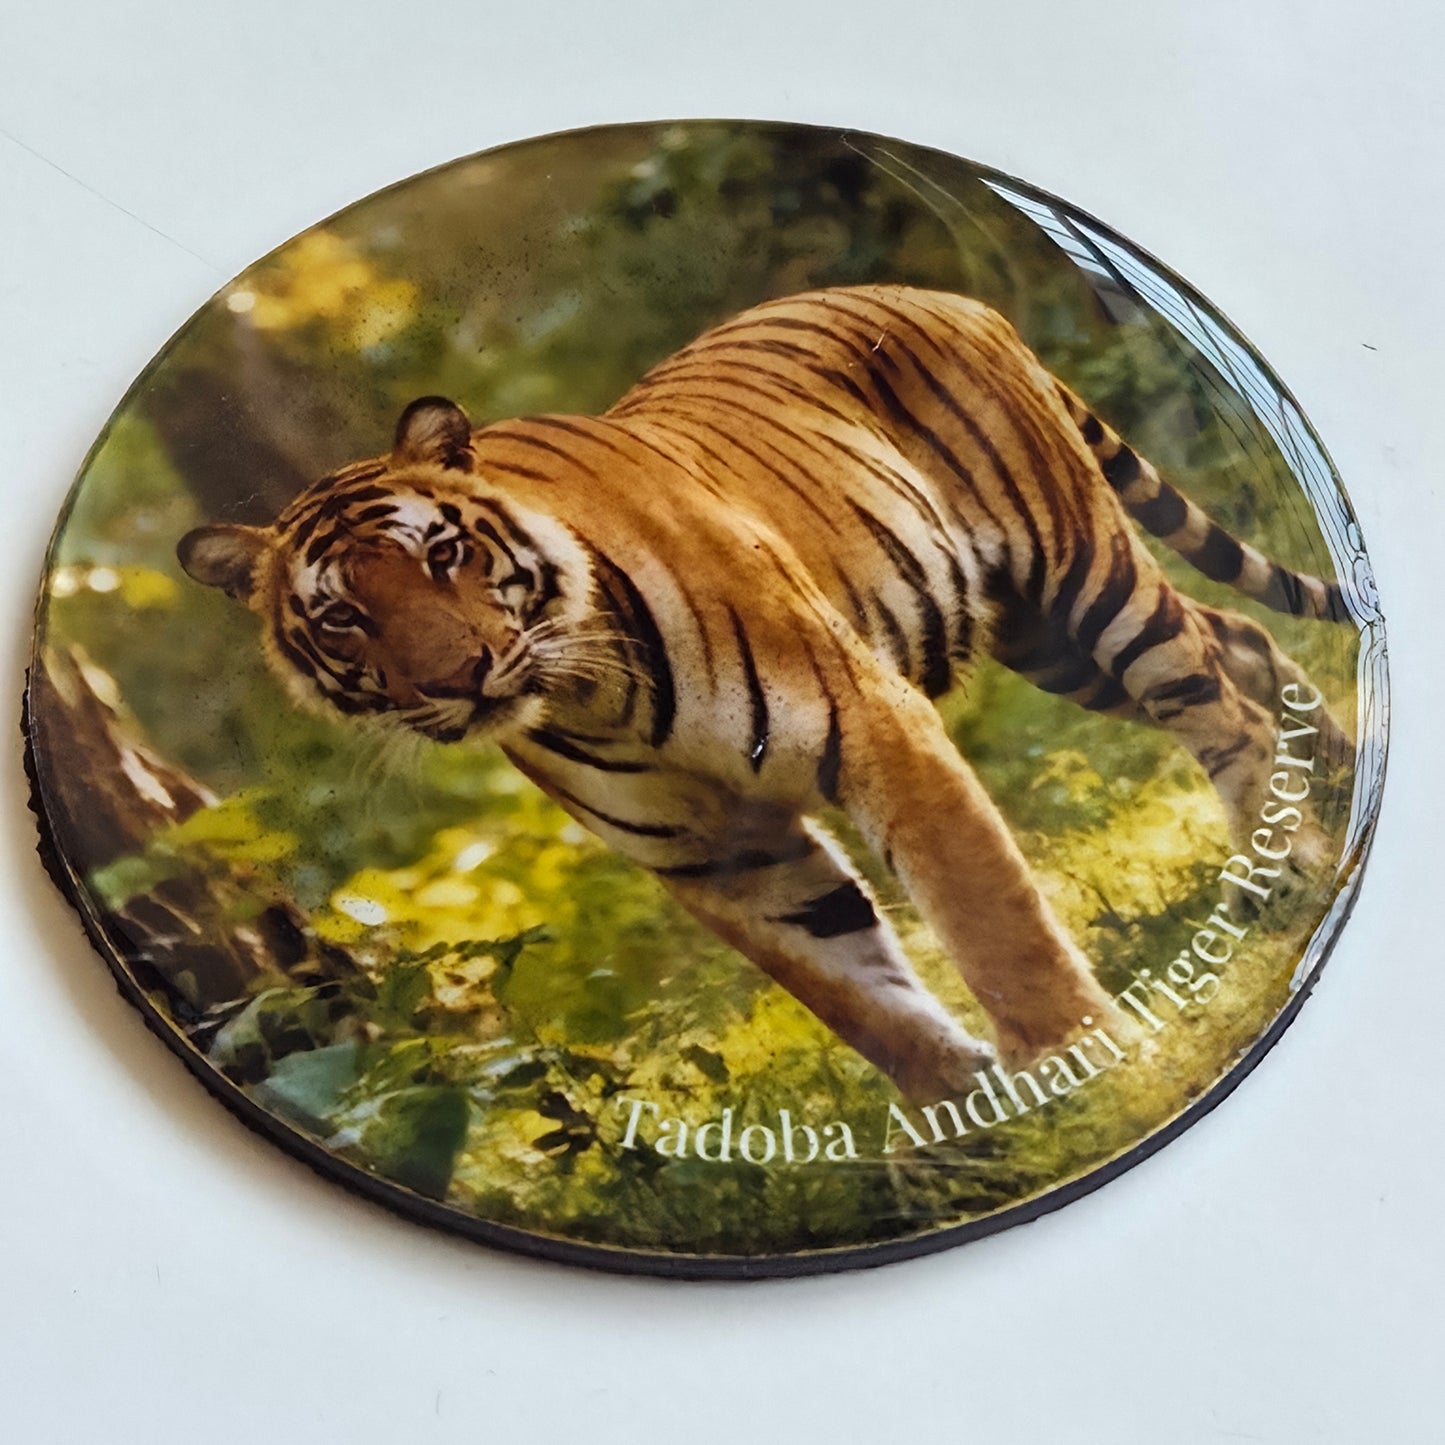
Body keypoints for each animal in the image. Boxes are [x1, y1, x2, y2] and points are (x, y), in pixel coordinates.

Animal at [178, 284, 1353, 1101]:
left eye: (443, 554)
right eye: (341, 615)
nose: (455, 676)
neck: (587, 690)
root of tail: (938, 292)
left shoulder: (876, 727)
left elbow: (987, 918)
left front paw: (1078, 1062)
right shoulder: (716, 855)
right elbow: (845, 988)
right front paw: (968, 1119)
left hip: (1082, 583)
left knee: (1215, 702)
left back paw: (1283, 862)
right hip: (1044, 638)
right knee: (1242, 639)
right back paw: (1338, 776)